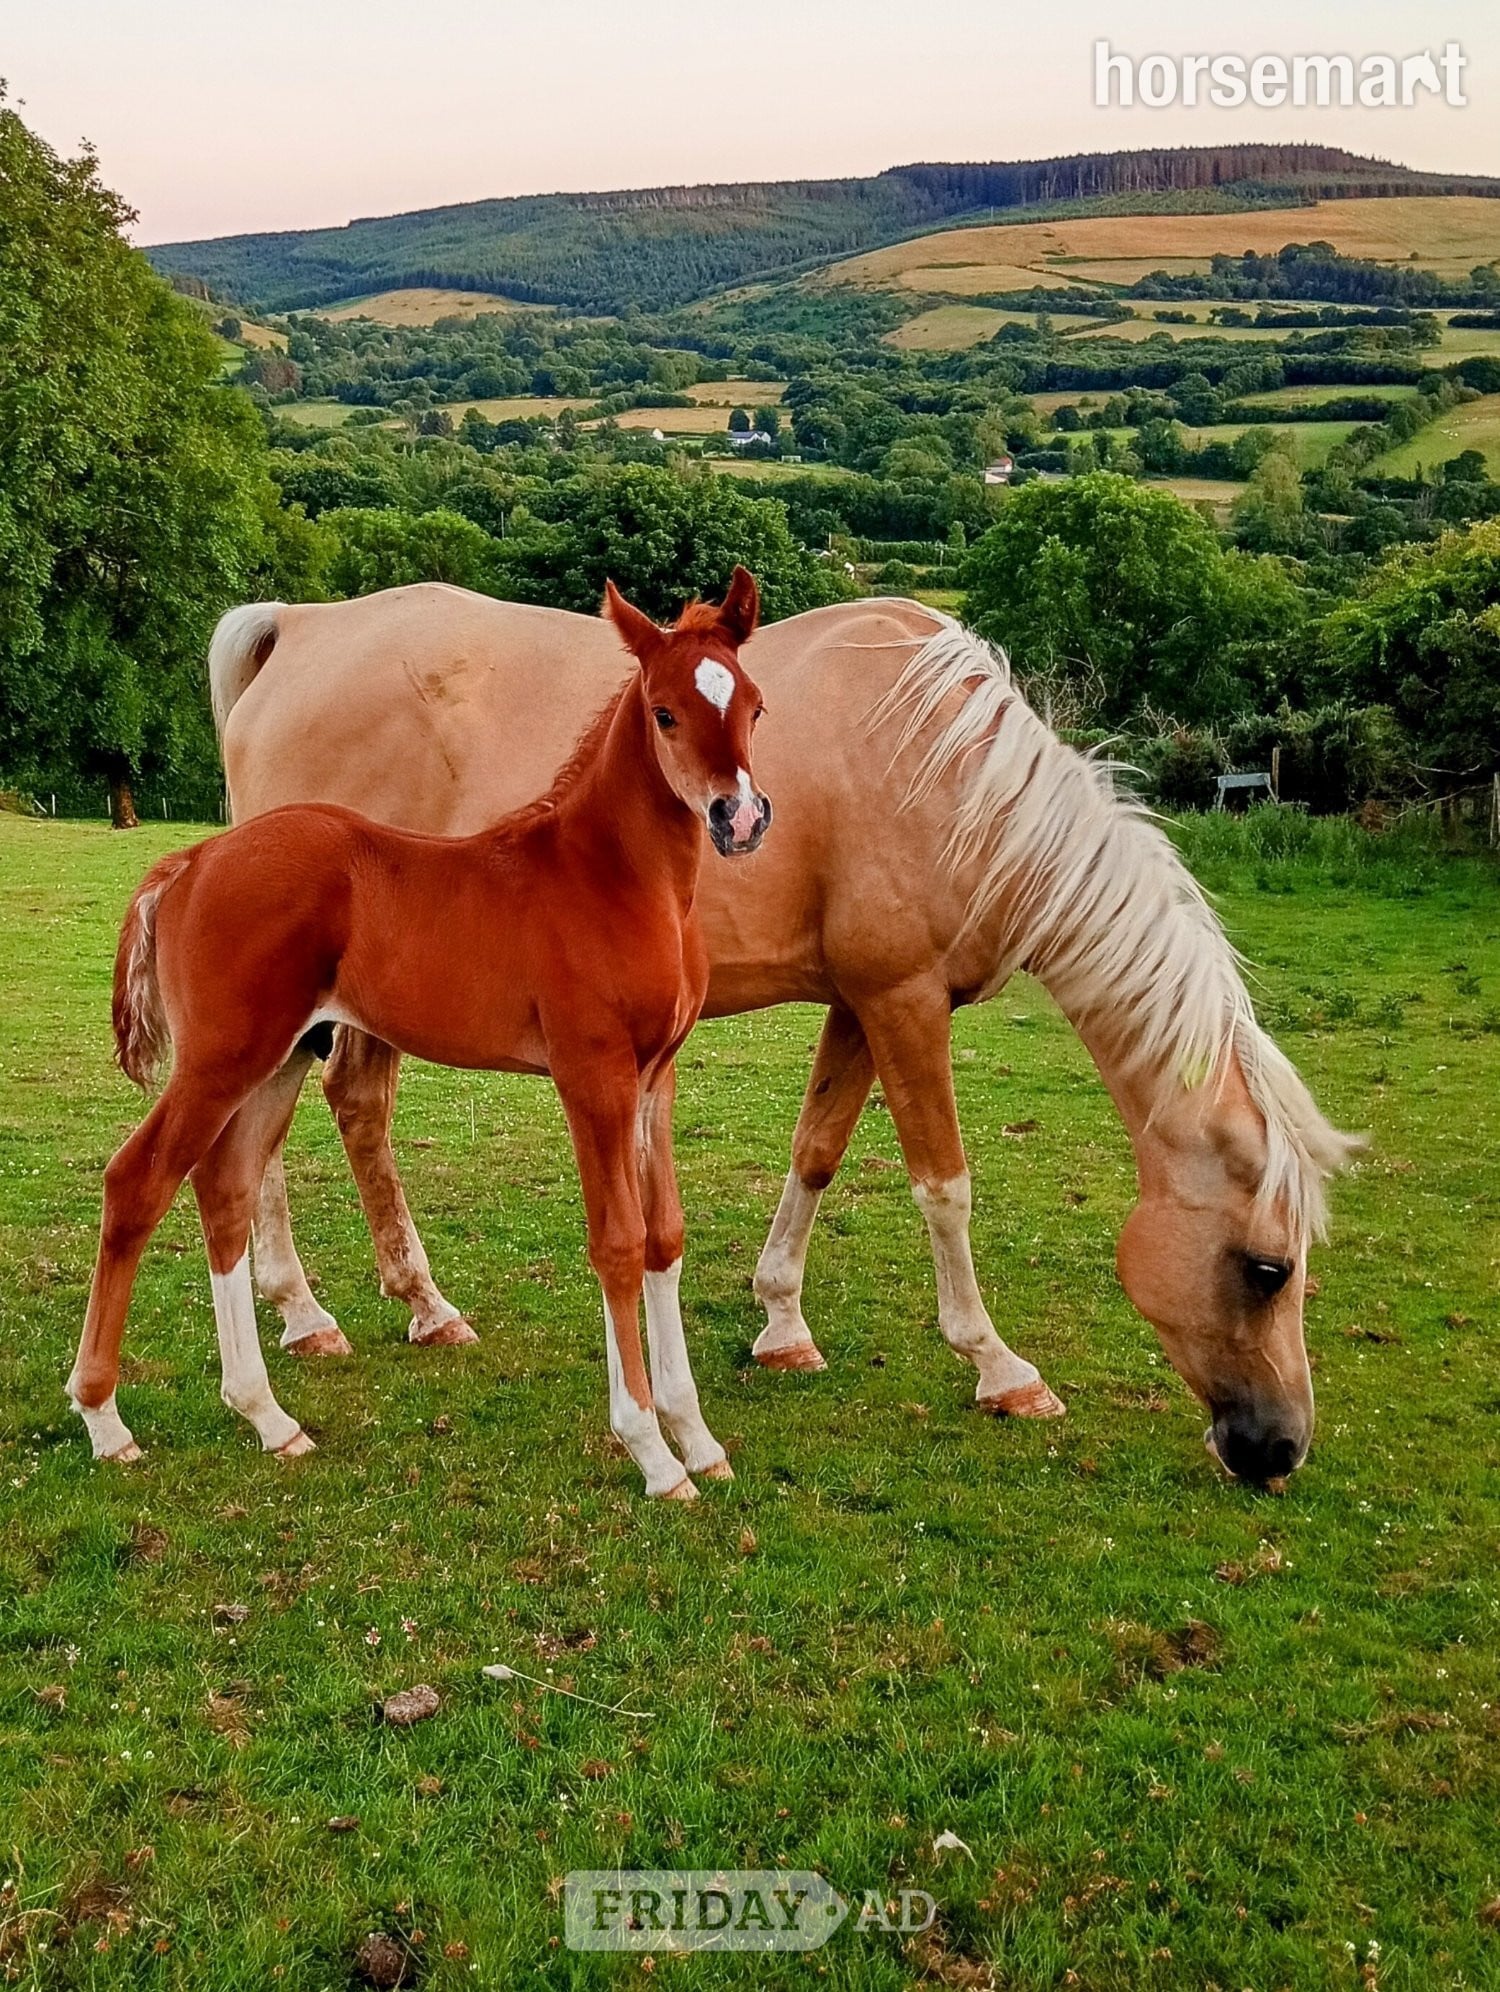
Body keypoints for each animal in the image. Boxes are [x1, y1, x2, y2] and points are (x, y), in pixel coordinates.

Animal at [67, 571, 771, 1500]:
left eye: (755, 706)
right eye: (663, 712)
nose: (739, 816)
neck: (614, 878)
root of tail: (193, 860)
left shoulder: (655, 1078)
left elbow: (664, 1241)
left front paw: (697, 1439)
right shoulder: (593, 1077)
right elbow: (617, 1243)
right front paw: (651, 1453)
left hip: (276, 1058)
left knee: (223, 1190)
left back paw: (269, 1417)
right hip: (220, 1058)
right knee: (137, 1183)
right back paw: (105, 1419)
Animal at [213, 587, 1358, 1487]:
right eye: (1267, 1268)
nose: (1279, 1450)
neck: (954, 775)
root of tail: (300, 628)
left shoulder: (861, 1003)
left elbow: (817, 1153)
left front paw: (782, 1324)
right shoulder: (903, 1002)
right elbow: (943, 1185)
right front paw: (998, 1366)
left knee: (345, 1111)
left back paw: (415, 1305)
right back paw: (305, 1316)